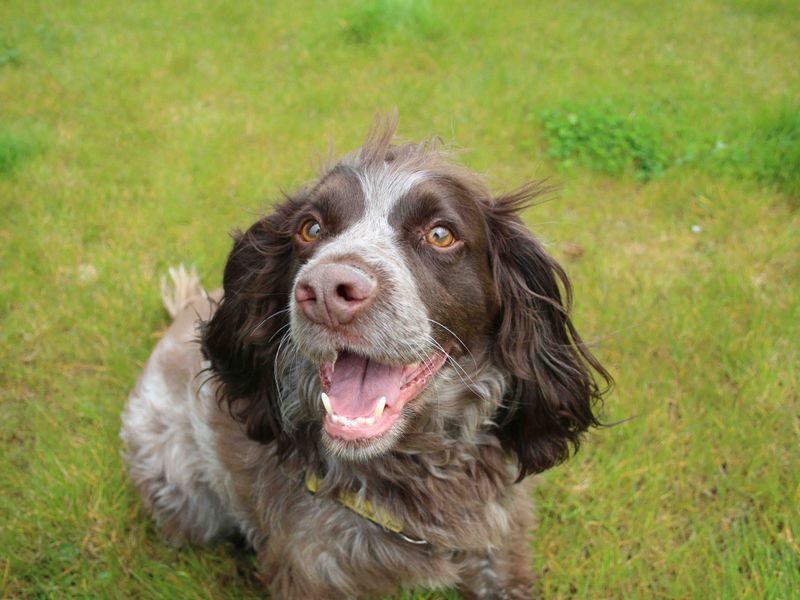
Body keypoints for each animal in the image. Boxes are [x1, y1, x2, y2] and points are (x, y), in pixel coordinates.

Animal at [120, 115, 608, 596]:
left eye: (441, 234)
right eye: (311, 228)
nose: (324, 292)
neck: (414, 468)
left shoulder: (502, 546)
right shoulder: (314, 571)